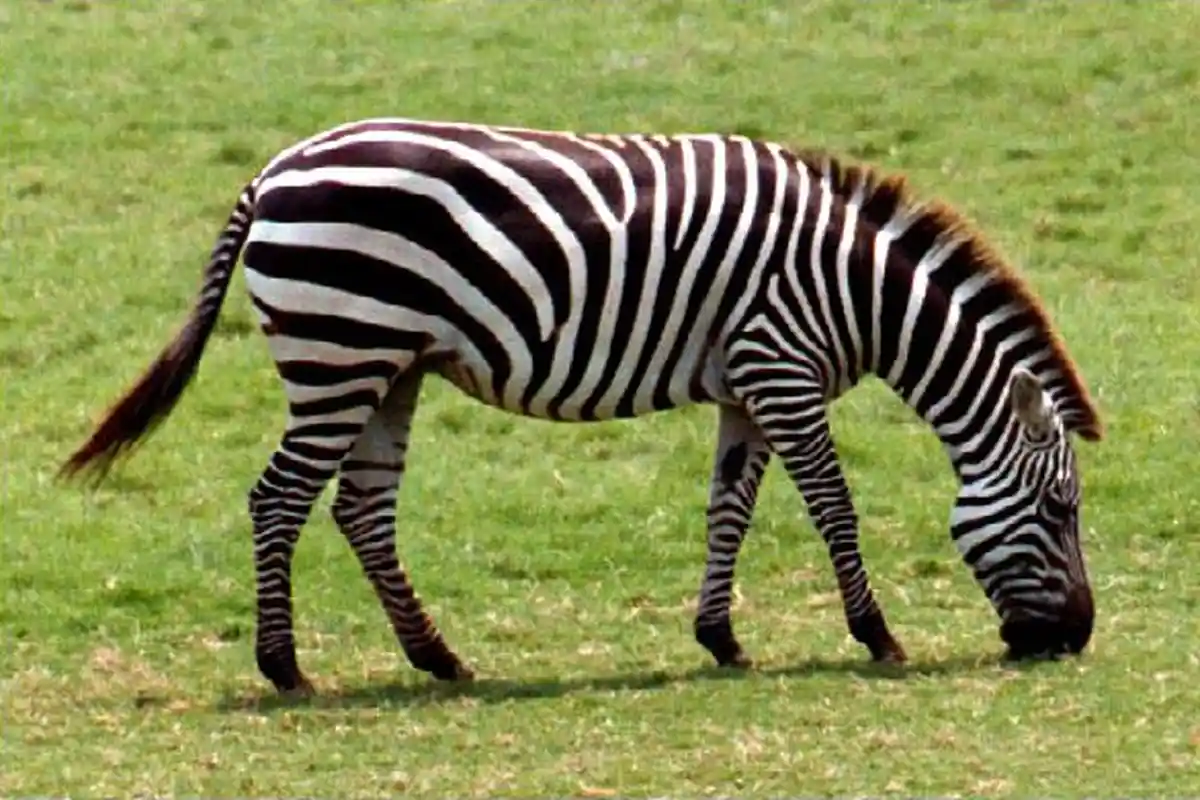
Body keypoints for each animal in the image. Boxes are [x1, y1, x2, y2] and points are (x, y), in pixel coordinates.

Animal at [59, 118, 1104, 696]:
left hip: (390, 367)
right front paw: (877, 635)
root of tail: (271, 171)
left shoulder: (749, 386)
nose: (1074, 640)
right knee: (279, 499)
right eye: (1061, 509)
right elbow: (833, 510)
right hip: (339, 353)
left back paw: (436, 656)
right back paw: (283, 667)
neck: (857, 289)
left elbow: (729, 510)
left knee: (361, 509)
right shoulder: (782, 369)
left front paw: (720, 638)